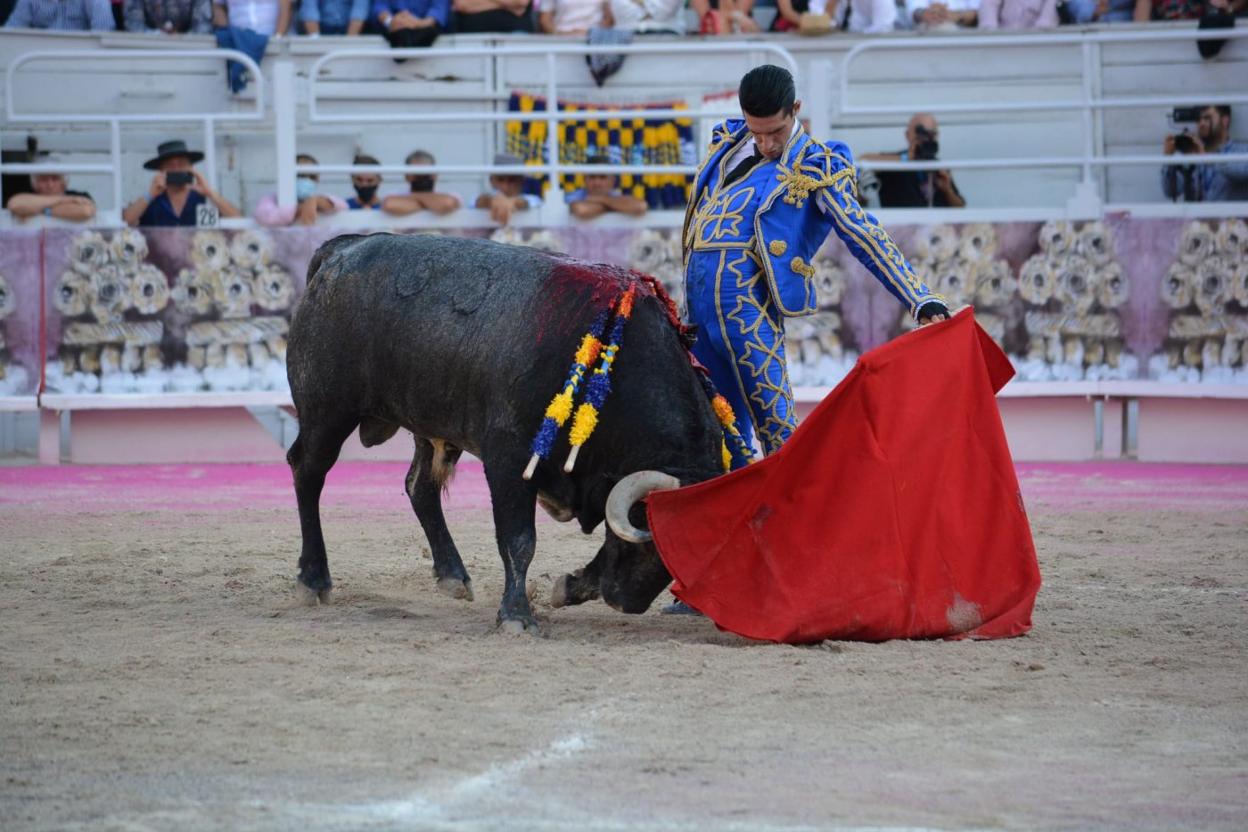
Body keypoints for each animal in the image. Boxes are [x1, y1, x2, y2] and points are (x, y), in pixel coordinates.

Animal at [285, 230, 723, 633]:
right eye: (650, 537)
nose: (625, 602)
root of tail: (342, 250)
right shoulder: (509, 461)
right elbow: (519, 539)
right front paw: (516, 615)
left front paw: (570, 587)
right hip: (327, 411)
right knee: (308, 471)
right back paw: (313, 579)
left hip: (430, 422)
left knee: (419, 486)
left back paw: (452, 575)